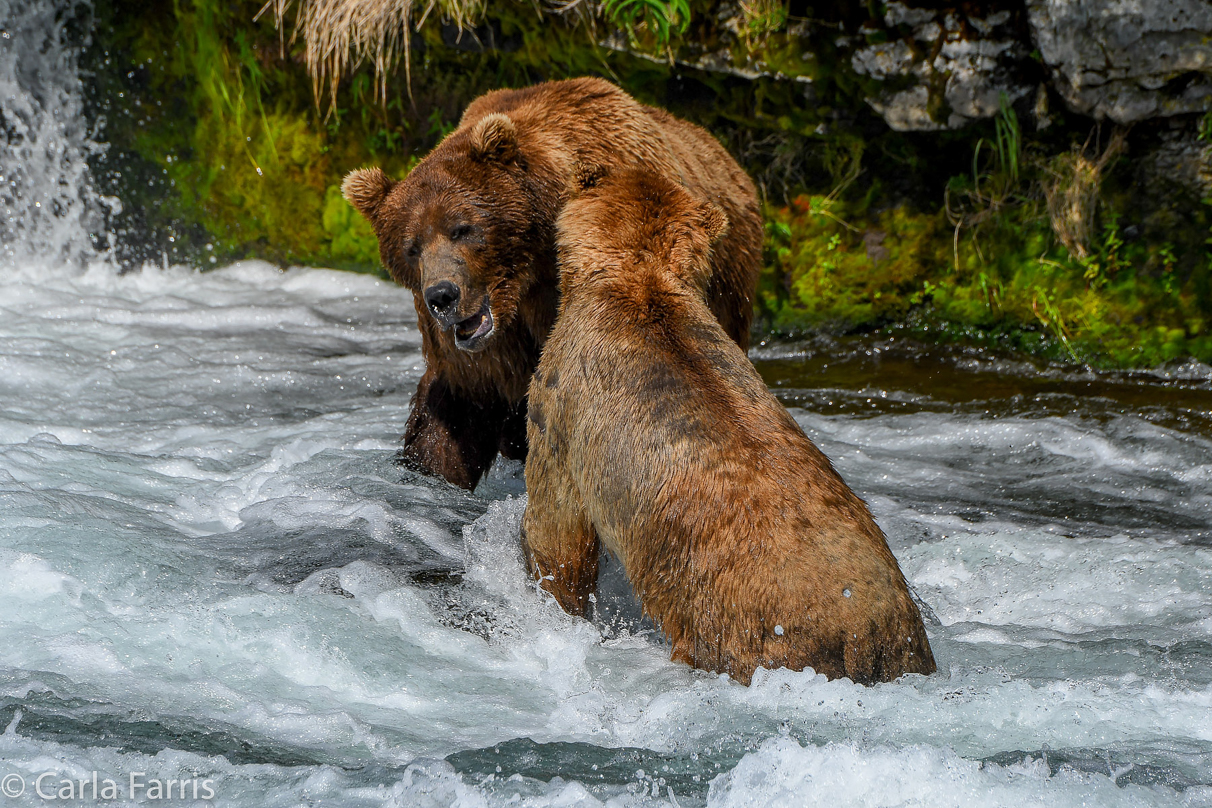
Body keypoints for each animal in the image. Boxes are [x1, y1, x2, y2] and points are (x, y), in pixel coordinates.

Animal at [521, 167, 935, 688]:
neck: (638, 275)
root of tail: (866, 634)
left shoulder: (563, 396)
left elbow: (558, 525)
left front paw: (548, 589)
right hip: (903, 643)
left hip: (737, 625)